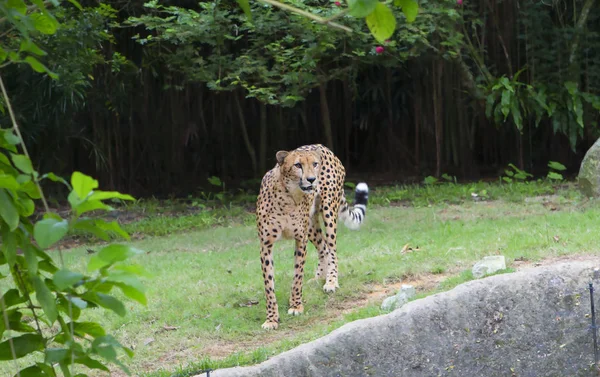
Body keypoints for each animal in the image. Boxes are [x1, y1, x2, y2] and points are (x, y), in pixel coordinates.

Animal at [255, 144, 368, 328]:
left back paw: (331, 281)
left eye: (314, 164)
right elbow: (269, 285)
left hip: (328, 211)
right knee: (323, 248)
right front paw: (271, 319)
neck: (288, 196)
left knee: (332, 249)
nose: (311, 179)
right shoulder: (266, 245)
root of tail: (323, 147)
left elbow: (297, 276)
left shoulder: (300, 240)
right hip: (311, 225)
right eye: (297, 165)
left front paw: (296, 306)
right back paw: (319, 277)